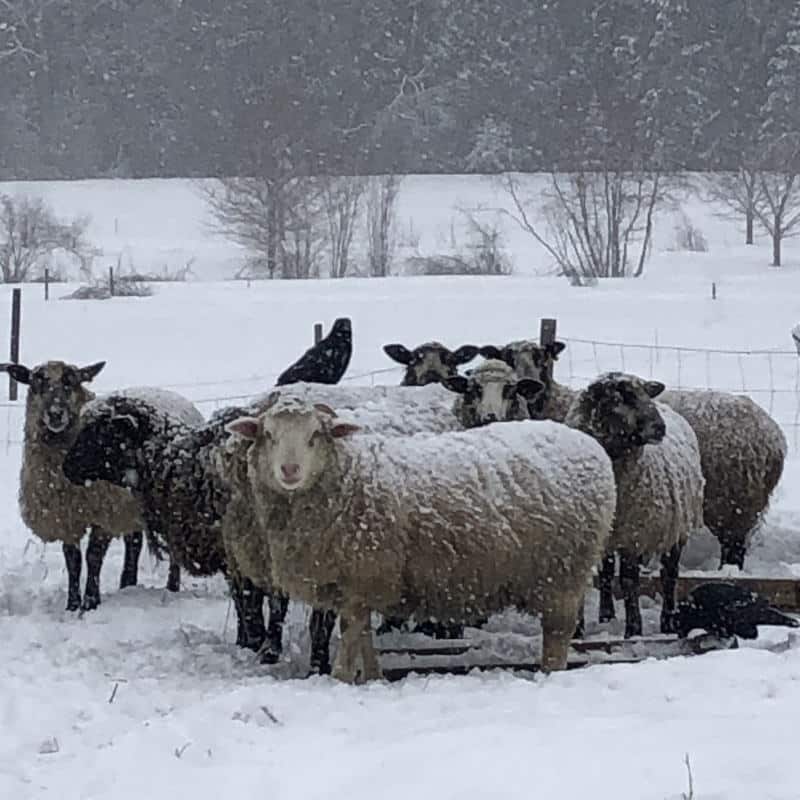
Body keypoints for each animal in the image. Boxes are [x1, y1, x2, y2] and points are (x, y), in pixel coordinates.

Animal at [3, 359, 201, 611]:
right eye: (37, 382)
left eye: (71, 381)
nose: (55, 414)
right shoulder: (66, 518)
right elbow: (73, 560)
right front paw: (72, 604)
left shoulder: (105, 513)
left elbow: (93, 556)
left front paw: (90, 602)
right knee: (134, 543)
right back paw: (127, 583)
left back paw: (171, 587)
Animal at [226, 394, 617, 683]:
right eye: (268, 435)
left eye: (315, 436)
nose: (289, 470)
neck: (348, 478)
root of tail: (589, 445)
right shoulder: (357, 586)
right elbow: (363, 636)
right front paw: (373, 678)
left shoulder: (363, 577)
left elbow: (351, 637)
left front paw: (340, 680)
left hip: (563, 573)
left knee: (558, 635)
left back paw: (550, 676)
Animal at [564, 372, 705, 638]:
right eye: (623, 397)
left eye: (646, 394)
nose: (660, 428)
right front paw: (577, 630)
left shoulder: (634, 535)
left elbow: (629, 581)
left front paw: (634, 630)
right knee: (607, 573)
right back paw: (606, 615)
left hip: (677, 527)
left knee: (669, 573)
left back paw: (667, 621)